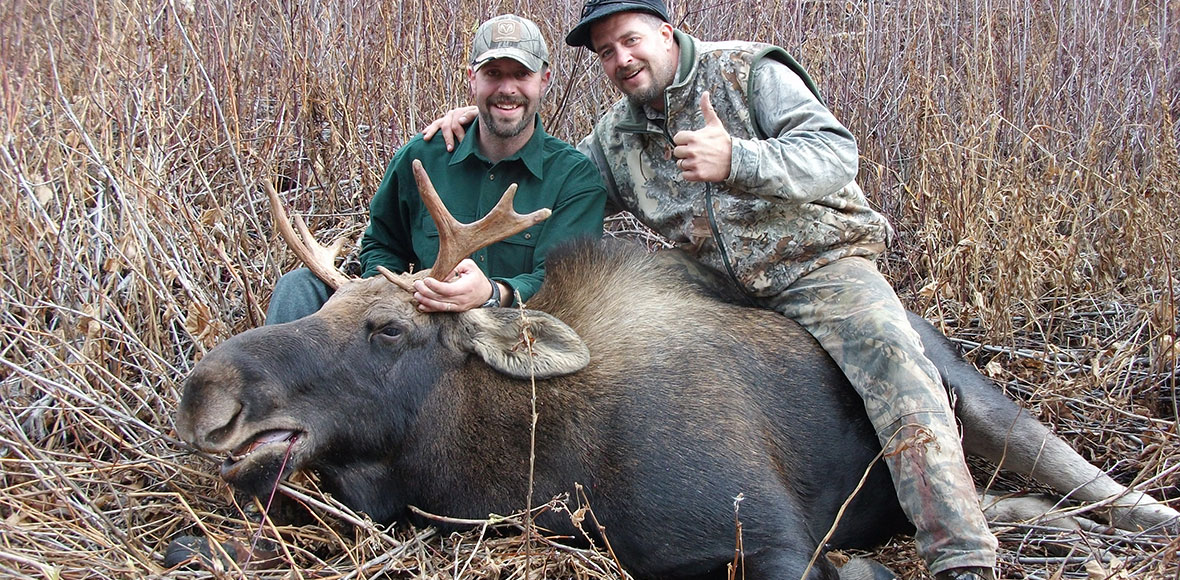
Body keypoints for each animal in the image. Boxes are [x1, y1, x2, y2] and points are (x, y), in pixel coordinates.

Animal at [176, 159, 1180, 580]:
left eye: (386, 327)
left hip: (973, 400)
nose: (203, 393)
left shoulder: (769, 537)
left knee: (1089, 486)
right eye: (328, 308)